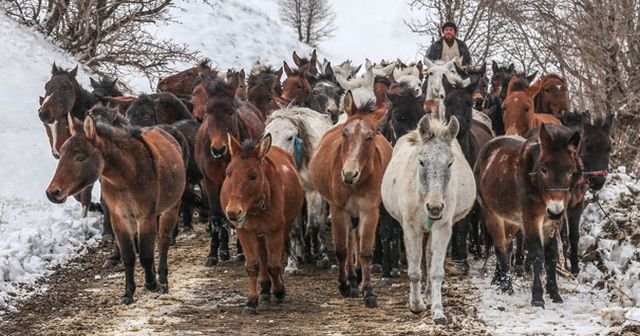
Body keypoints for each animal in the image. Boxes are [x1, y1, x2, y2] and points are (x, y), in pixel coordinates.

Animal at [46, 113, 186, 304]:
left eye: (80, 157)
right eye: (61, 155)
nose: (53, 193)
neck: (127, 176)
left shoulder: (145, 217)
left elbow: (146, 254)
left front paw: (152, 284)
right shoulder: (120, 217)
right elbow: (128, 255)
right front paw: (128, 293)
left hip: (170, 209)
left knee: (163, 242)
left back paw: (163, 282)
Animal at [195, 77, 264, 266]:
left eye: (231, 112)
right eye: (207, 113)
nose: (218, 149)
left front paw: (241, 252)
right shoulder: (209, 181)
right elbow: (216, 216)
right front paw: (212, 254)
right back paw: (223, 250)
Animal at [221, 134, 304, 316]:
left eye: (253, 176)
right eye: (228, 173)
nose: (233, 212)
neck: (257, 206)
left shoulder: (275, 230)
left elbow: (274, 265)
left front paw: (279, 291)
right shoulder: (245, 230)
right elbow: (253, 265)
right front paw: (251, 301)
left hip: (283, 227)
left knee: (274, 258)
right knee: (263, 256)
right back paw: (265, 288)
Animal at [308, 89, 392, 308]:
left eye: (370, 137)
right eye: (345, 133)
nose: (348, 174)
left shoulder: (370, 211)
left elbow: (365, 251)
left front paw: (368, 291)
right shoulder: (338, 210)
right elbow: (341, 249)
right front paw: (345, 285)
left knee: (356, 237)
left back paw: (358, 275)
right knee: (349, 240)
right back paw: (352, 279)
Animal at [476, 123, 580, 308]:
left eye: (570, 171)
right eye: (544, 170)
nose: (555, 211)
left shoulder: (551, 223)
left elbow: (551, 256)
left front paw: (554, 293)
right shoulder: (531, 219)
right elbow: (537, 254)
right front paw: (537, 296)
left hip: (512, 220)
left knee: (508, 246)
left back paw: (498, 279)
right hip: (492, 215)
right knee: (500, 247)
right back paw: (507, 286)